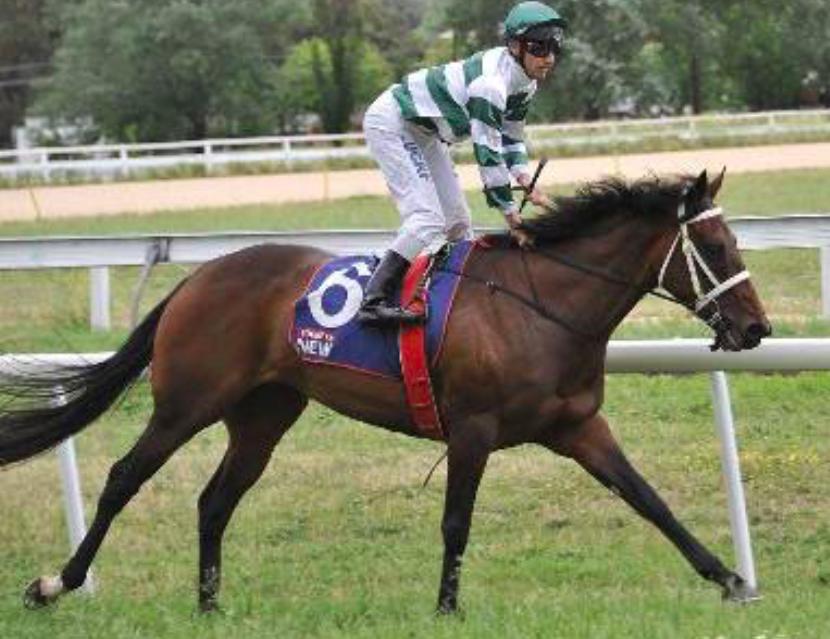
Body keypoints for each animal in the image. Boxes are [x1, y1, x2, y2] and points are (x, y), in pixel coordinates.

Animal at [0, 168, 771, 614]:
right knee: (123, 476)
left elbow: (648, 499)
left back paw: (210, 606)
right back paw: (55, 584)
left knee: (215, 500)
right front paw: (447, 609)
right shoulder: (473, 428)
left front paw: (729, 578)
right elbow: (457, 521)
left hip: (263, 414)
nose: (757, 327)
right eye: (718, 248)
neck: (541, 305)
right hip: (187, 401)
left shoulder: (578, 427)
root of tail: (198, 276)